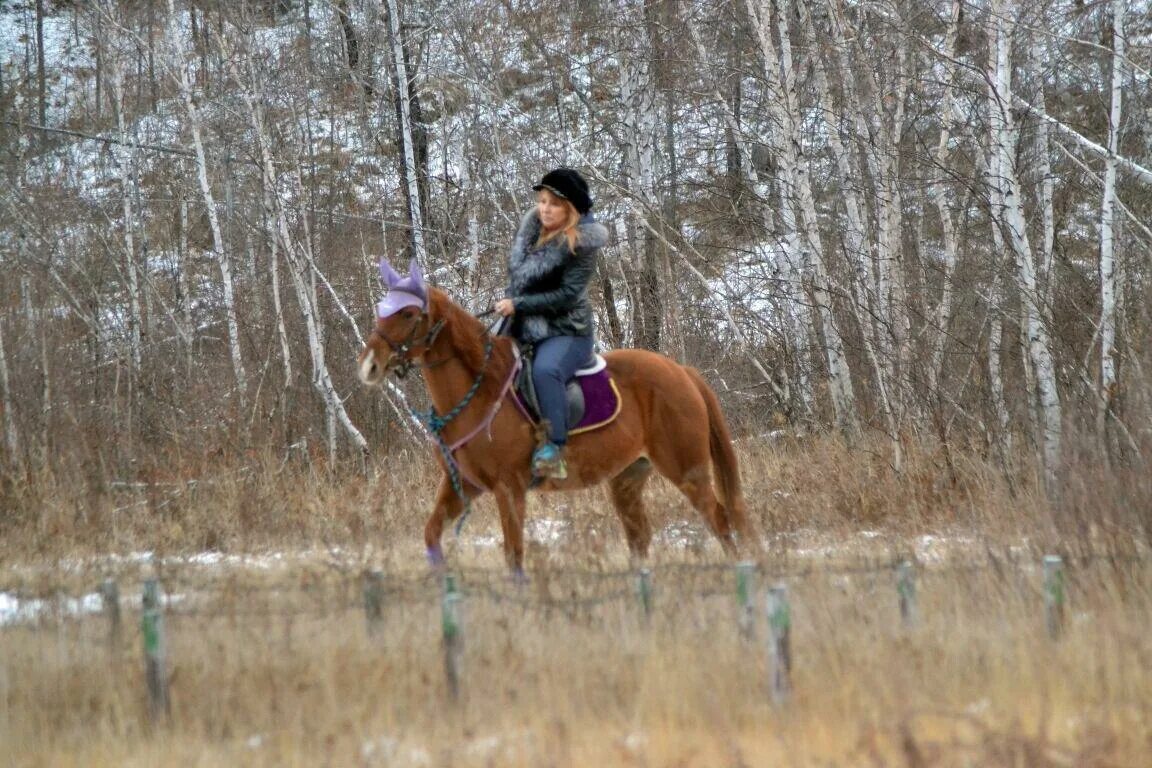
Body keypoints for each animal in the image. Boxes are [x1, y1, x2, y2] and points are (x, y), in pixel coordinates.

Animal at [354, 279, 760, 573]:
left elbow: (514, 553)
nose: (369, 365)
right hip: (627, 479)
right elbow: (431, 536)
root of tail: (681, 371)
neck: (480, 391)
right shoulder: (463, 487)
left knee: (719, 520)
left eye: (409, 314)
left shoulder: (508, 489)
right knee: (641, 538)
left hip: (687, 470)